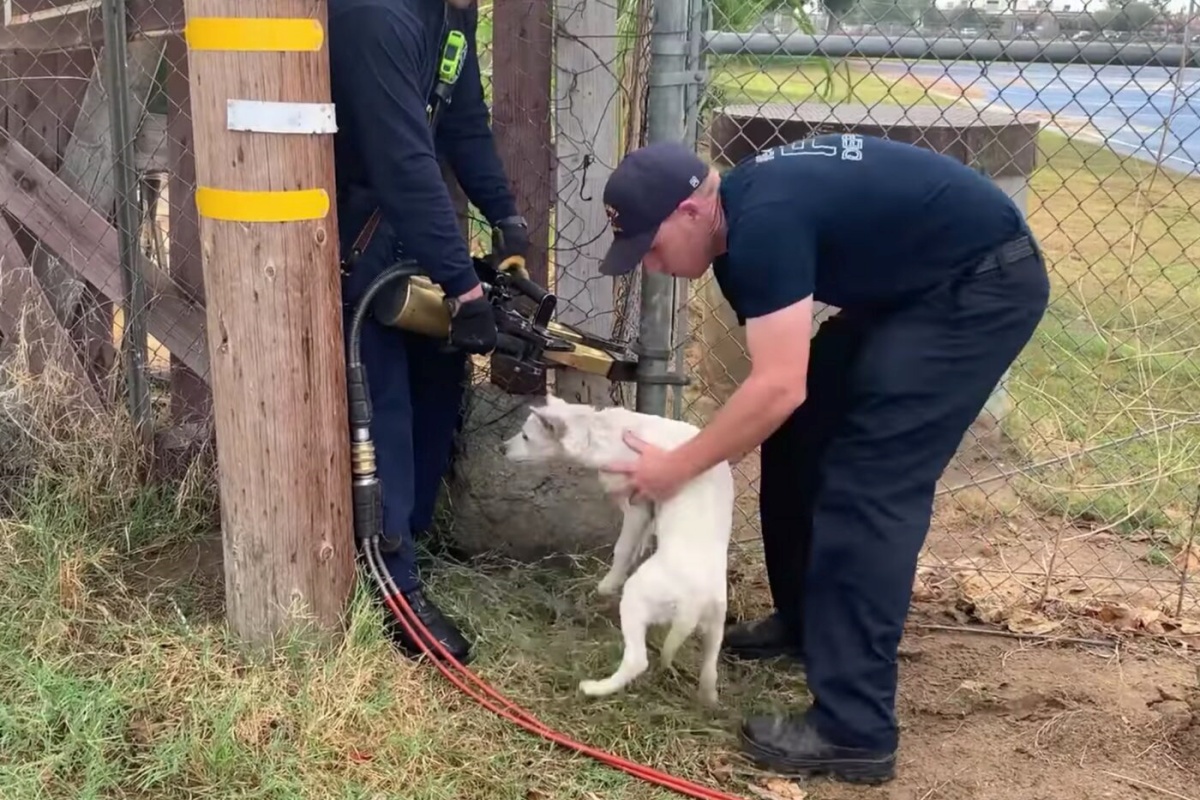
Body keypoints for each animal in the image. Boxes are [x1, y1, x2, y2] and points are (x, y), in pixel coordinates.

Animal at [501, 395, 734, 705]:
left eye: (527, 437)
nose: (501, 448)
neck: (599, 430)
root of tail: (692, 604)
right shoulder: (646, 511)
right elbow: (639, 542)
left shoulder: (636, 504)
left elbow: (623, 548)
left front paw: (607, 584)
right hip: (715, 627)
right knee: (710, 672)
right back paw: (708, 702)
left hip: (637, 600)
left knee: (637, 661)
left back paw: (593, 688)